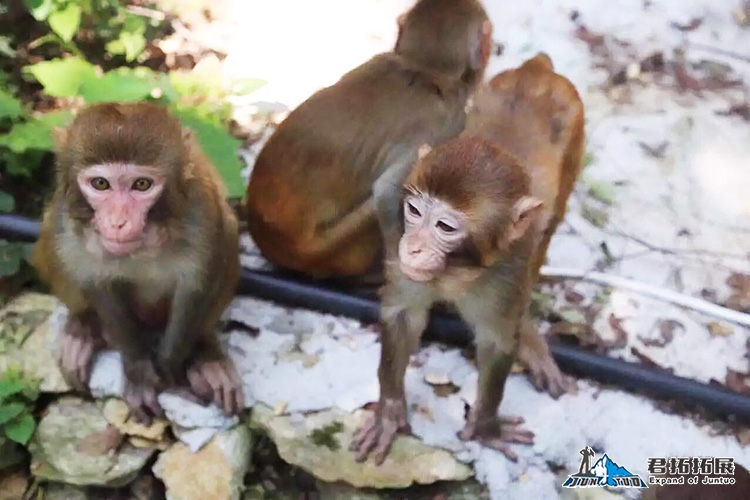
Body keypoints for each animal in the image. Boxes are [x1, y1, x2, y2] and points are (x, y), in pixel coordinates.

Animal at [33, 101, 244, 422]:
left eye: (142, 185)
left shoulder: (201, 211)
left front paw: (170, 366)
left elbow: (197, 284)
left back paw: (205, 356)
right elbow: (98, 282)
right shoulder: (75, 225)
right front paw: (139, 371)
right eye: (100, 184)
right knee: (53, 229)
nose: (118, 222)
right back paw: (84, 328)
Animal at [356, 54, 592, 464]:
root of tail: (537, 69)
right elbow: (403, 316)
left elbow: (496, 340)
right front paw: (389, 411)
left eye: (445, 226)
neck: (456, 270)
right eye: (414, 211)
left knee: (550, 226)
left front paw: (485, 426)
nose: (413, 247)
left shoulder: (509, 270)